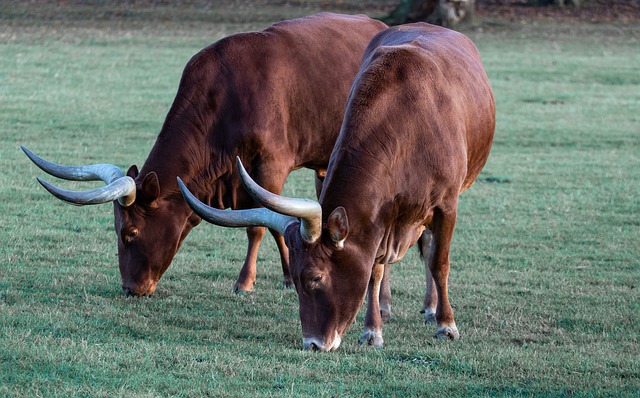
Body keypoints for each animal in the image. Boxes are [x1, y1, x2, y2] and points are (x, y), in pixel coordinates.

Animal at [22, 13, 388, 296]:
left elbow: (262, 225)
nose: (130, 289)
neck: (226, 96)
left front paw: (253, 281)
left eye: (131, 233)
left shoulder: (270, 166)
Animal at [179, 23, 496, 350]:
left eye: (316, 277)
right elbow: (373, 271)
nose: (312, 344)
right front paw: (372, 330)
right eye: (295, 280)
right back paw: (386, 307)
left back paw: (432, 309)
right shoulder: (378, 217)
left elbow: (439, 263)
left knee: (431, 250)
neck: (407, 120)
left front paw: (446, 324)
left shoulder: (446, 206)